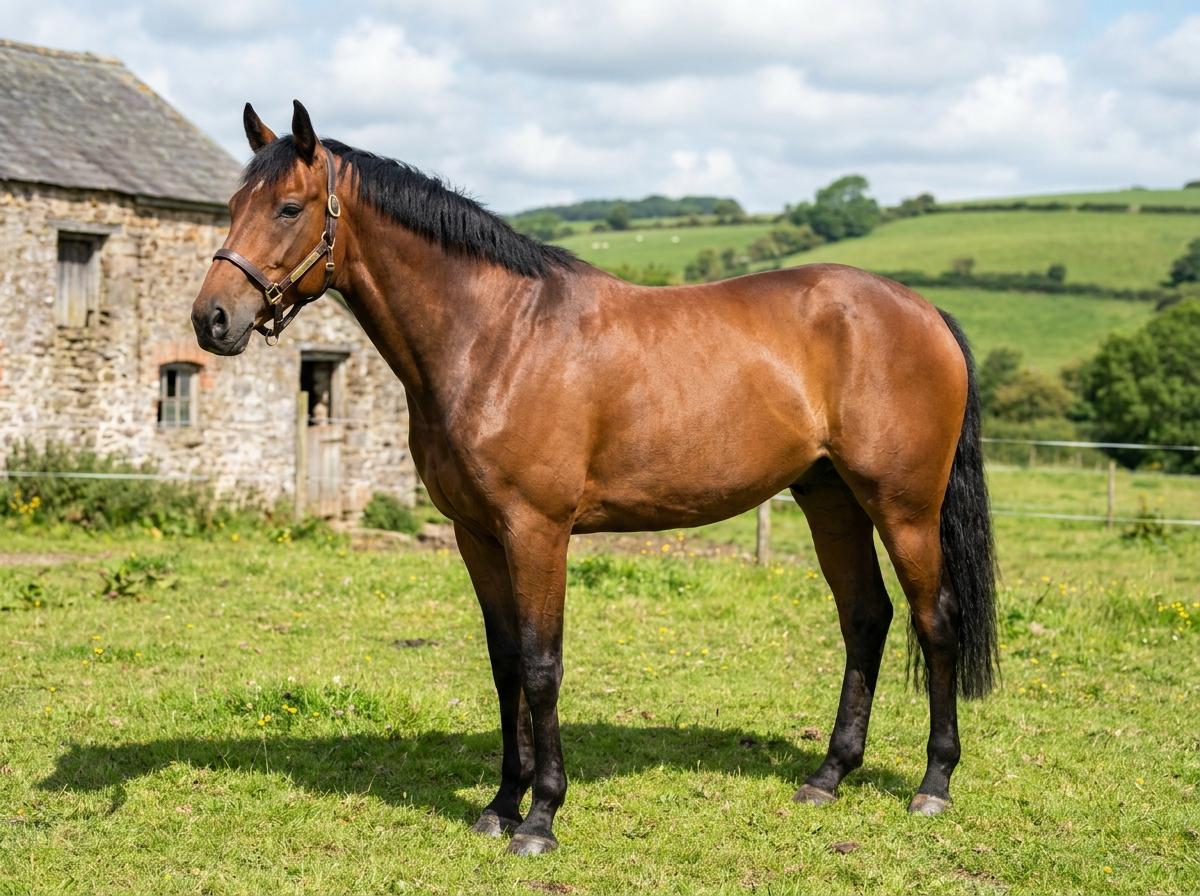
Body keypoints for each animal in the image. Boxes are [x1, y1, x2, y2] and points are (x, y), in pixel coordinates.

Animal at [192, 101, 998, 856]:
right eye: (231, 206)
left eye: (288, 207)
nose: (212, 320)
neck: (497, 336)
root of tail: (923, 310)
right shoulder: (476, 534)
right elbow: (506, 664)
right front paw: (500, 805)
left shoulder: (538, 530)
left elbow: (542, 665)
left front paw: (541, 818)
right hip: (830, 498)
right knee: (866, 618)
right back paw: (829, 775)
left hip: (904, 508)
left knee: (936, 621)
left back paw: (933, 783)